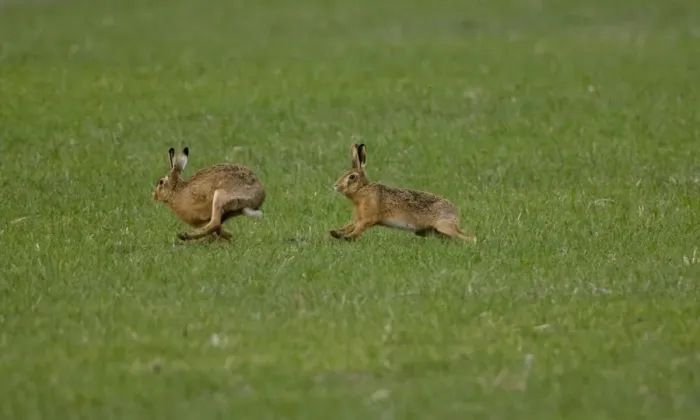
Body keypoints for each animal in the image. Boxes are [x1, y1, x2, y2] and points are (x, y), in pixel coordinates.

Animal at [330, 143, 476, 243]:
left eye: (352, 177)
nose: (336, 186)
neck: (362, 189)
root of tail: (455, 213)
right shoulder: (359, 217)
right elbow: (350, 225)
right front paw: (335, 233)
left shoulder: (368, 218)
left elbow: (359, 229)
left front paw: (347, 238)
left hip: (444, 226)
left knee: (469, 237)